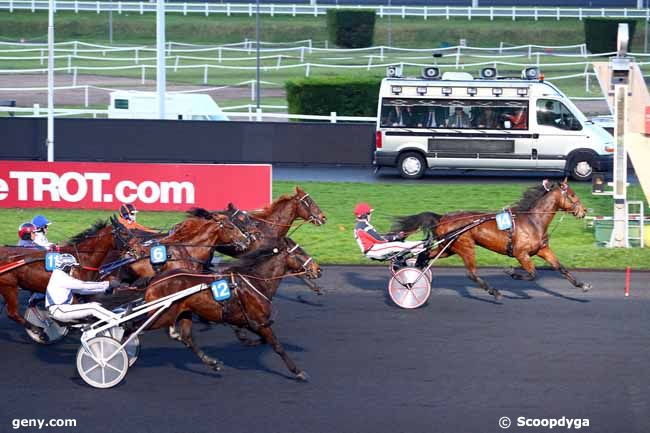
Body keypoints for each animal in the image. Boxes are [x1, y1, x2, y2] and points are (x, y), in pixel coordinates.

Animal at [138, 238, 320, 380]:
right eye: (300, 252)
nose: (318, 269)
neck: (256, 281)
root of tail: (155, 280)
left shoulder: (250, 321)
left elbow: (255, 336)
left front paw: (247, 339)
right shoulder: (260, 320)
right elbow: (277, 346)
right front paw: (298, 372)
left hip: (184, 313)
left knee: (187, 337)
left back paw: (212, 362)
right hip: (162, 315)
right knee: (135, 327)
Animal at [392, 177, 588, 298]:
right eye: (572, 195)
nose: (584, 211)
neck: (533, 221)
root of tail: (443, 217)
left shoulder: (542, 249)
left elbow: (561, 268)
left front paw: (582, 285)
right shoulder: (521, 254)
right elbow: (532, 274)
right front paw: (511, 272)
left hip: (448, 248)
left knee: (425, 255)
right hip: (465, 246)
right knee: (471, 273)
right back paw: (494, 292)